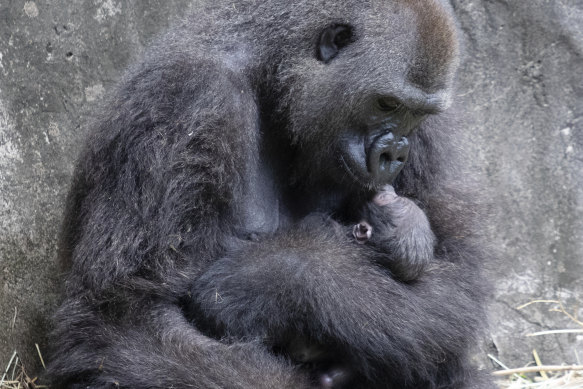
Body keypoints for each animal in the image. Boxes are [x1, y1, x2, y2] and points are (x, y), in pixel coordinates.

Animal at [49, 0, 492, 388]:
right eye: (386, 104)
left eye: (417, 114)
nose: (395, 154)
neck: (272, 71)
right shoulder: (186, 97)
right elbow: (124, 317)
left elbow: (457, 274)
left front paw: (282, 277)